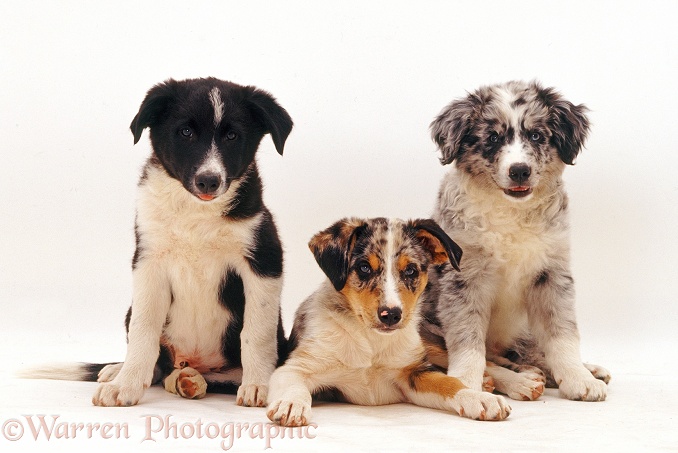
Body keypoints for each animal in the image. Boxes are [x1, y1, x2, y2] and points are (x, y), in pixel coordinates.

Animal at [27, 77, 292, 406]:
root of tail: (194, 362)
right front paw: (125, 385)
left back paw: (193, 380)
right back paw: (122, 371)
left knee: (216, 376)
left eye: (232, 136)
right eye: (186, 132)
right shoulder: (148, 261)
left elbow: (256, 332)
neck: (195, 213)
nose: (209, 181)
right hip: (132, 312)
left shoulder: (264, 258)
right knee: (157, 363)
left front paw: (259, 385)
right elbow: (144, 329)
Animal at [422, 79, 612, 400]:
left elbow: (562, 333)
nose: (520, 170)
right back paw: (517, 380)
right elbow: (467, 341)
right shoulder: (463, 278)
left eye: (536, 135)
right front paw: (467, 384)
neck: (511, 212)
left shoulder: (552, 273)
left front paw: (577, 377)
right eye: (493, 138)